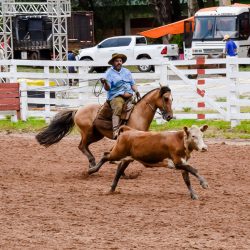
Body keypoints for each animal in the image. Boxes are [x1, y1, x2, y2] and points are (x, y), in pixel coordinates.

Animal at [35, 86, 172, 170]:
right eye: (165, 98)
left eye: (172, 98)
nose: (170, 116)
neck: (138, 114)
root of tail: (78, 110)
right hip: (88, 132)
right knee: (81, 146)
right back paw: (92, 162)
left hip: (96, 135)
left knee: (84, 146)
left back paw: (92, 163)